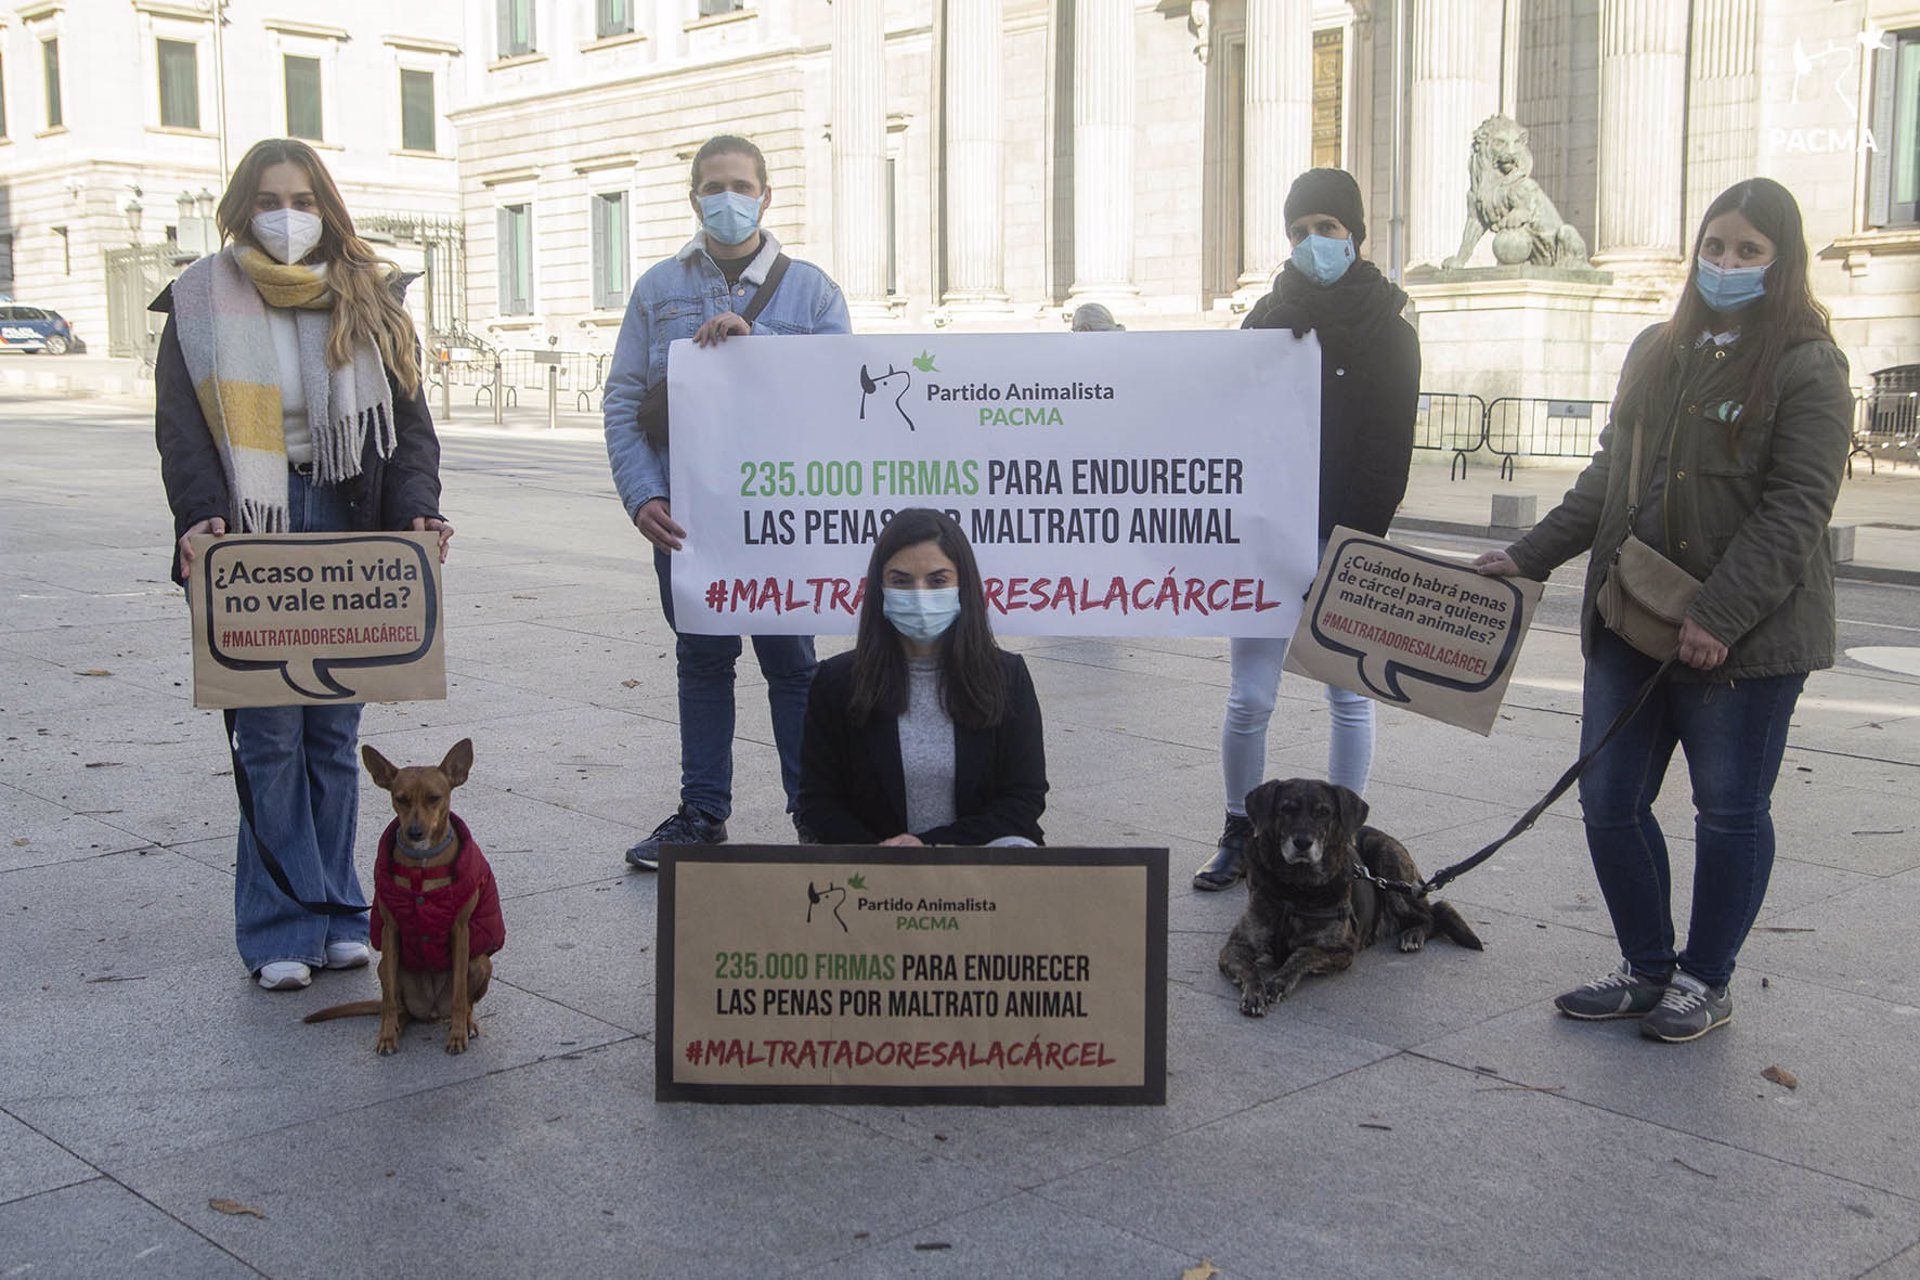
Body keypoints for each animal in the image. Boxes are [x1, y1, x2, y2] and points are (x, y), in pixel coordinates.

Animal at [1213, 775, 1482, 1013]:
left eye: (1324, 812)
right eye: (1286, 809)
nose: (1302, 842)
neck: (1298, 888)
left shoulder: (1342, 950)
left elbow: (1302, 953)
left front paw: (1279, 981)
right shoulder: (1236, 946)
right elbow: (1249, 969)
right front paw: (1255, 992)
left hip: (1387, 860)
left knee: (1432, 913)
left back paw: (1413, 935)